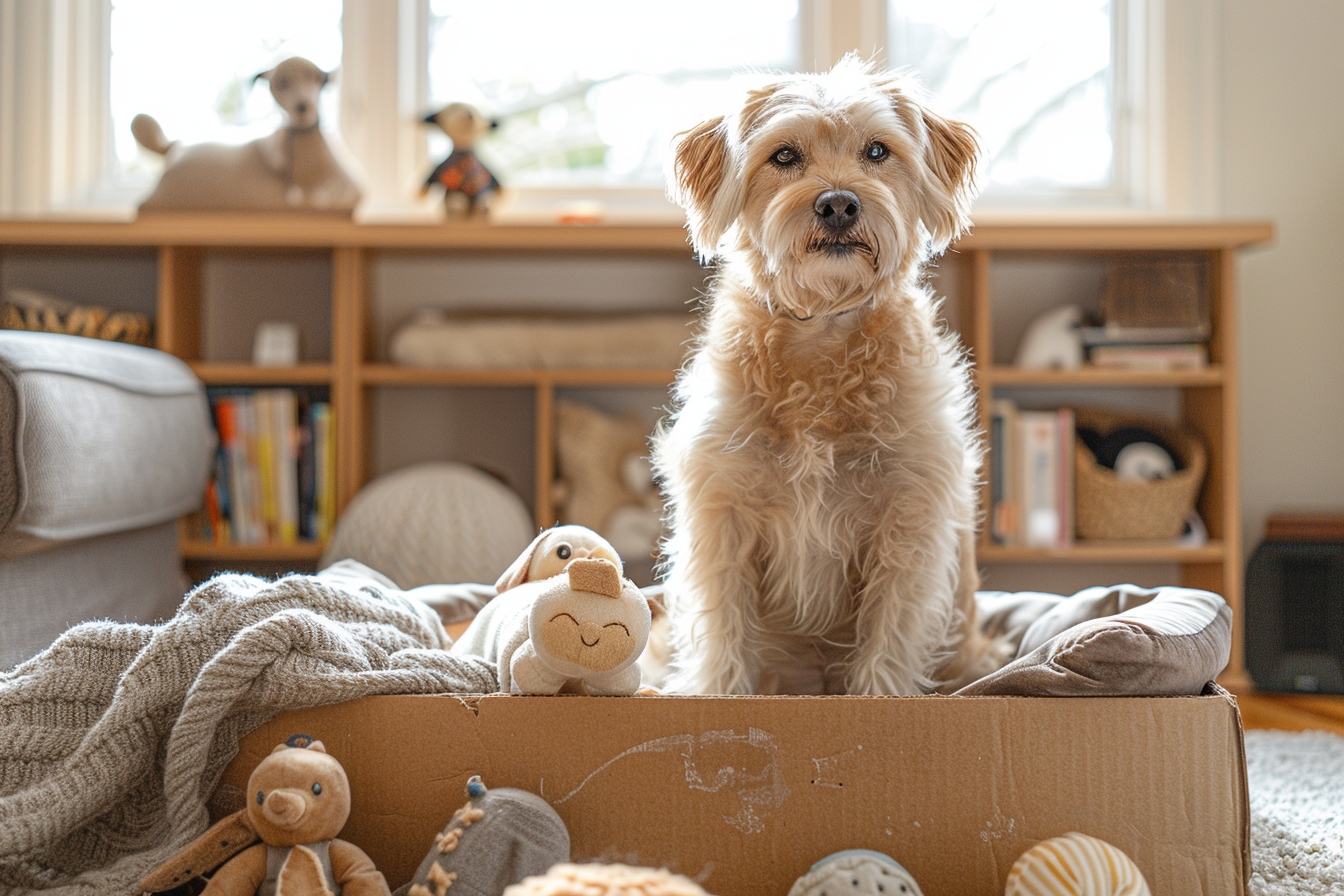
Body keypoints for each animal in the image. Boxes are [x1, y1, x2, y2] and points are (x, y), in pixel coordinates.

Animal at [653, 56, 1010, 698]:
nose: (839, 204)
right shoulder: (721, 512)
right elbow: (722, 631)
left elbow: (890, 636)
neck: (821, 330)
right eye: (784, 155)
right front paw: (717, 693)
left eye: (877, 150)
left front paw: (878, 696)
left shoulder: (908, 520)